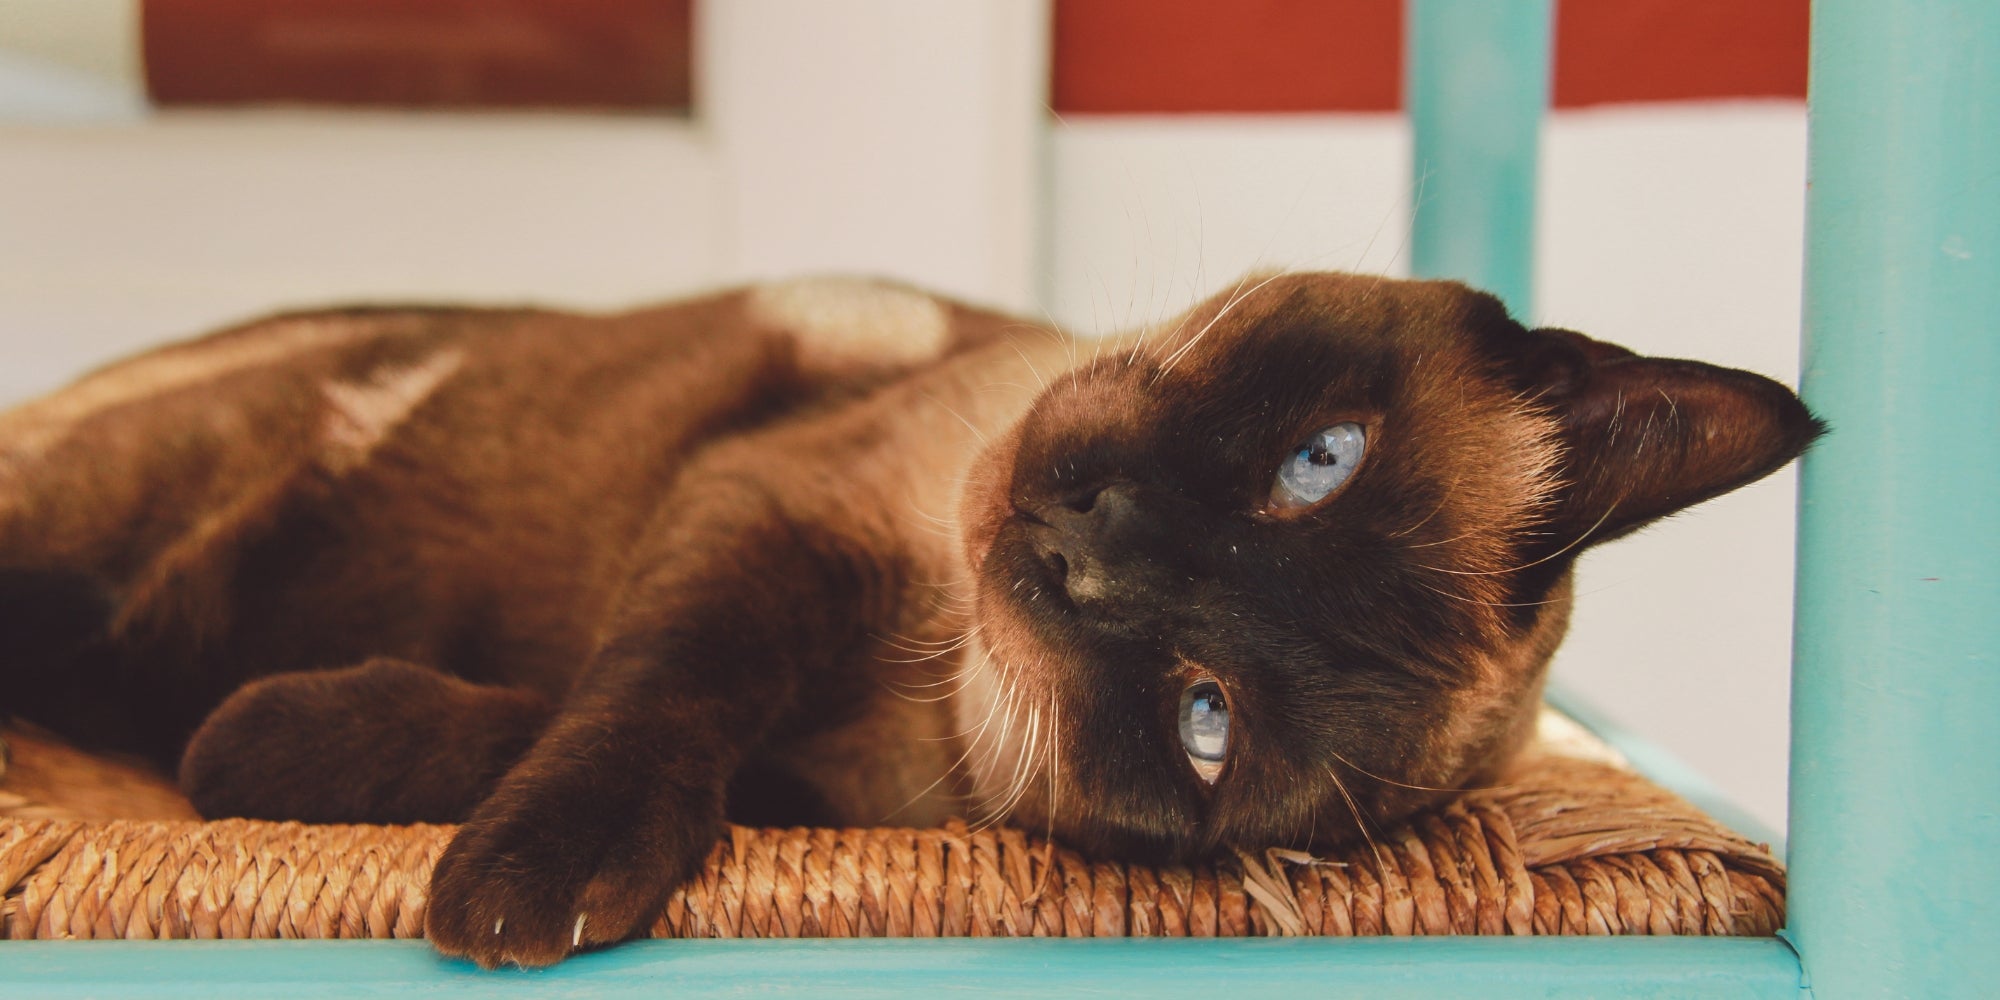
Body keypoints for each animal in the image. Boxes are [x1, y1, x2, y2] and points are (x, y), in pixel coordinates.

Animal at [0, 272, 1824, 960]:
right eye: (1324, 459)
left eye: (1204, 719)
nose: (1085, 552)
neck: (924, 641)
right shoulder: (775, 517)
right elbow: (655, 692)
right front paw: (526, 880)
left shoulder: (818, 769)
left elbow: (604, 735)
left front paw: (296, 754)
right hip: (90, 538)